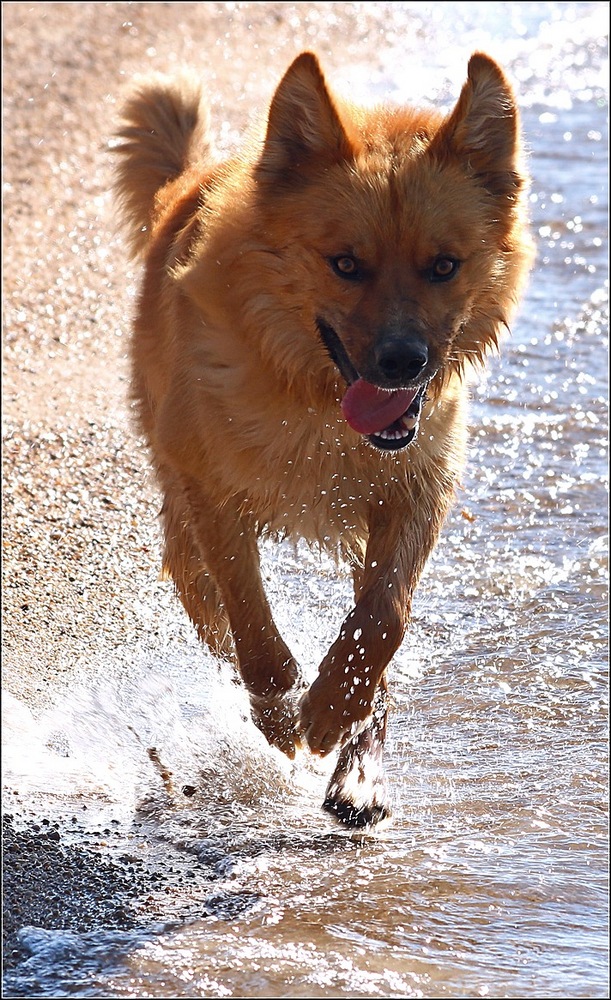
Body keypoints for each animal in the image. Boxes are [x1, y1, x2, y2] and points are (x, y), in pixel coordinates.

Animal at [113, 48, 532, 828]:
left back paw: (358, 771)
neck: (317, 407)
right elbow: (256, 635)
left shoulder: (415, 490)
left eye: (443, 265)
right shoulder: (214, 497)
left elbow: (382, 622)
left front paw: (336, 714)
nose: (403, 363)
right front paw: (284, 718)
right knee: (210, 609)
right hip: (181, 514)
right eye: (345, 264)